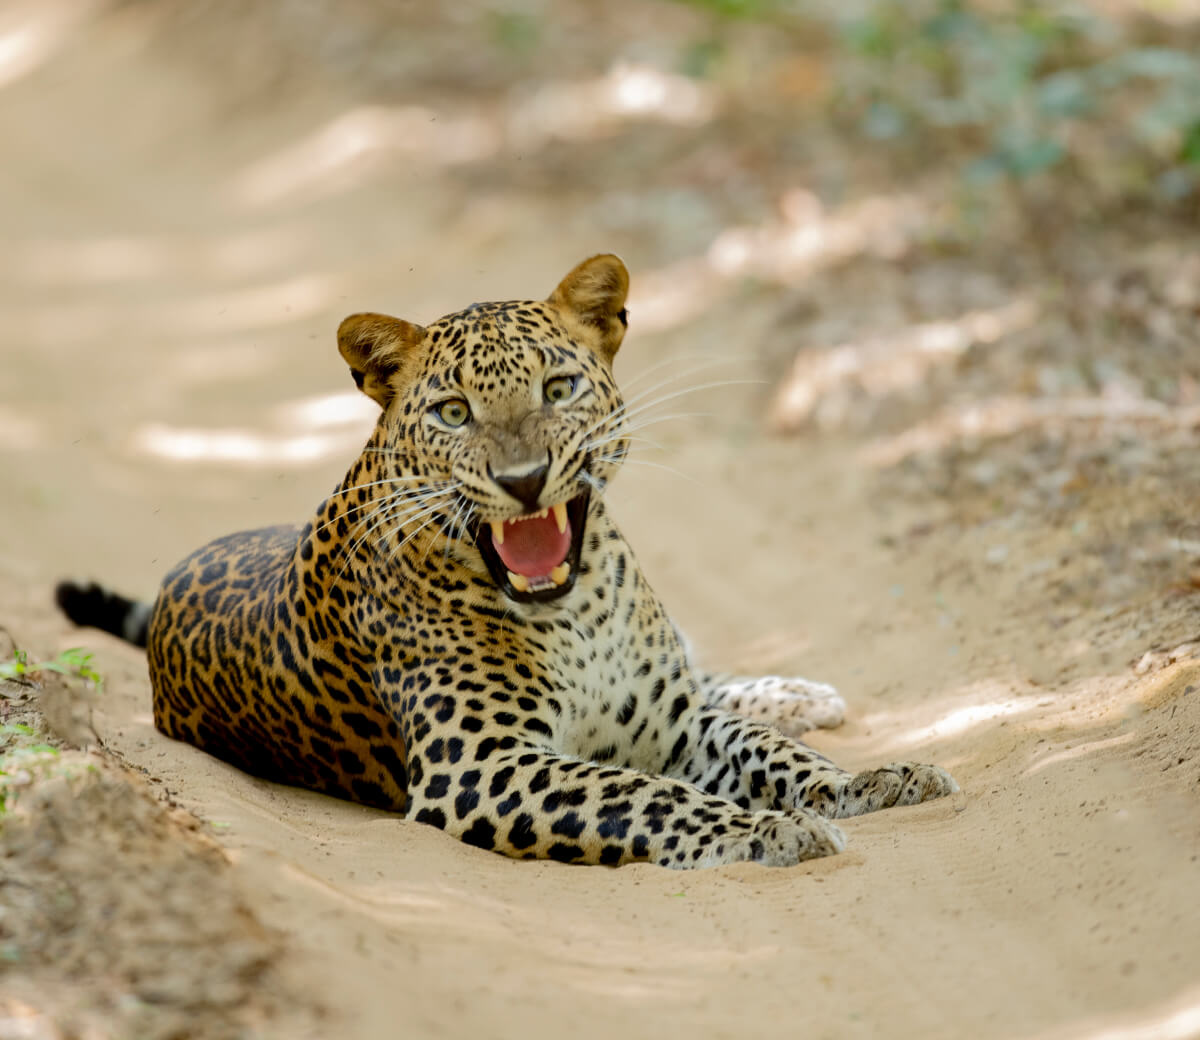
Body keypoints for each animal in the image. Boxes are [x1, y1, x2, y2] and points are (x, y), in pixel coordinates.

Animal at [56, 254, 958, 869]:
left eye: (558, 390)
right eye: (454, 413)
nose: (522, 480)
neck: (577, 607)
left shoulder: (674, 720)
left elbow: (768, 752)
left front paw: (870, 780)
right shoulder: (481, 765)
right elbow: (641, 793)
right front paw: (771, 827)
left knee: (716, 679)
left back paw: (801, 695)